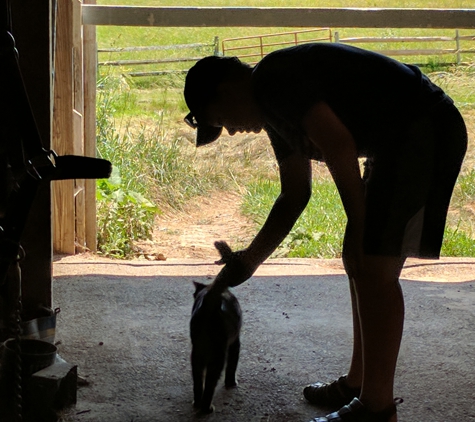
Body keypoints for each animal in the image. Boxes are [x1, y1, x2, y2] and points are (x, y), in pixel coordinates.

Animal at [190, 278, 242, 414]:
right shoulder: (235, 341)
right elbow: (232, 364)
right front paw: (231, 383)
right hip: (218, 354)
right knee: (210, 382)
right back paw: (206, 408)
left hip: (197, 352)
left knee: (197, 379)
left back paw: (197, 403)